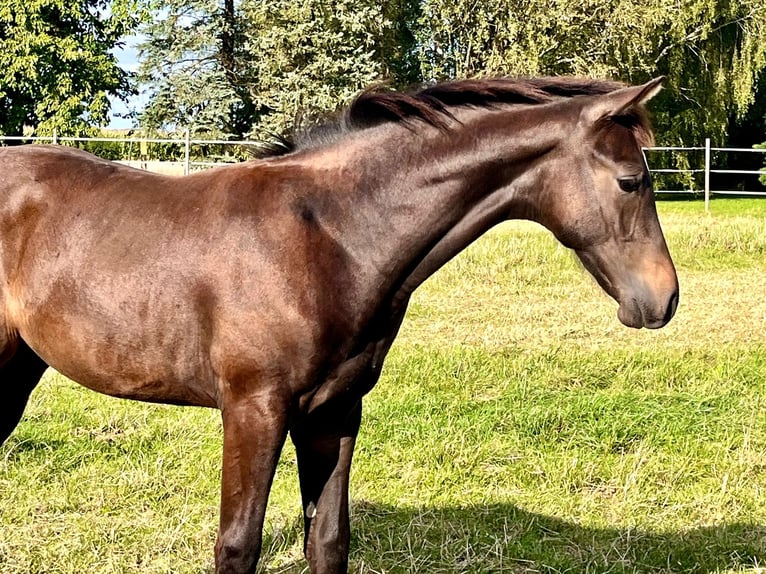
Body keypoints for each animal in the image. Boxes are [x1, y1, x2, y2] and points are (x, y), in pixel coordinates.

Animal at [0, 77, 680, 574]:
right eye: (630, 181)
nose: (664, 300)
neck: (331, 237)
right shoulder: (254, 408)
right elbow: (237, 546)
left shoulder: (334, 410)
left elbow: (327, 539)